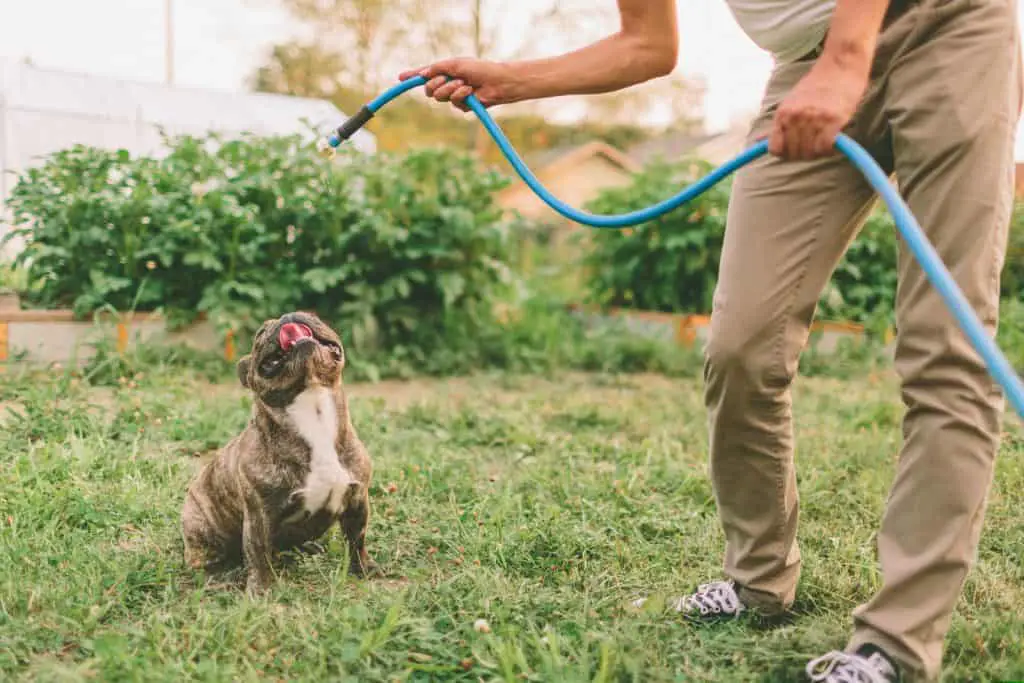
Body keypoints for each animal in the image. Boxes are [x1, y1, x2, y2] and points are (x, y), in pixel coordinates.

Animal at [182, 313, 378, 593]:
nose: (289, 316)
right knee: (207, 560)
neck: (314, 414)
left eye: (314, 315)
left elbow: (357, 540)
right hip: (201, 529)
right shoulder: (259, 515)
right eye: (259, 333)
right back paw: (219, 576)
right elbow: (258, 552)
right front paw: (262, 589)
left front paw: (362, 568)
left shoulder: (358, 500)